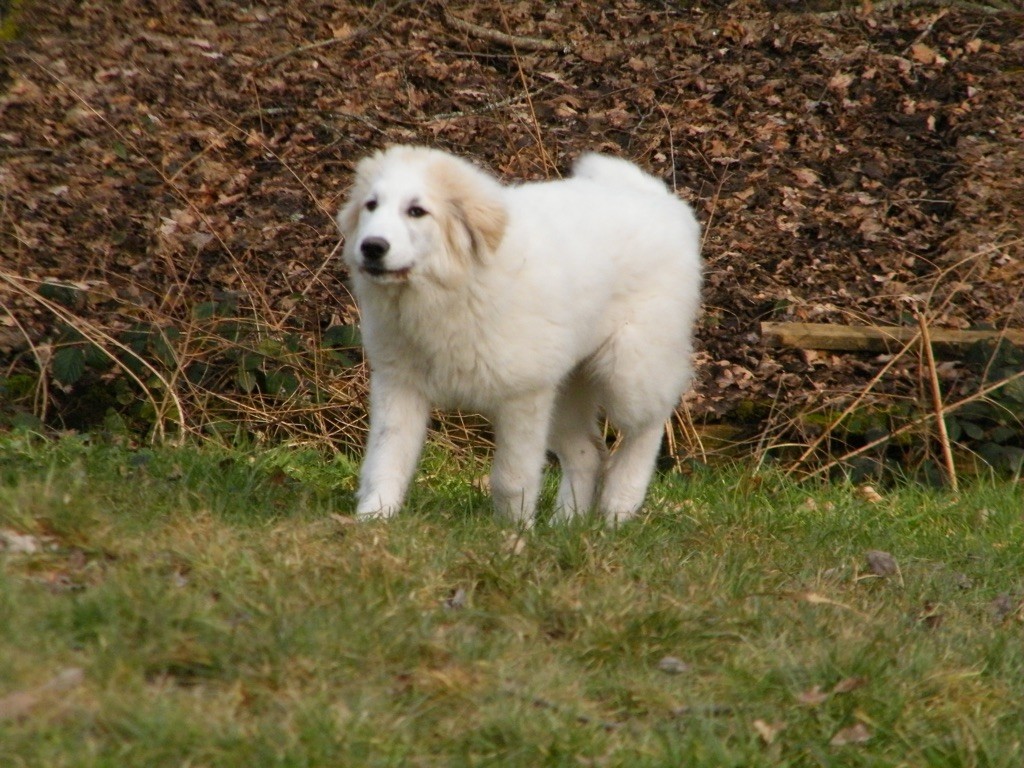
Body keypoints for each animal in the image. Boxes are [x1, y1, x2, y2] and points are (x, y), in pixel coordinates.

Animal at [339, 147, 700, 528]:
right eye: (371, 205)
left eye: (416, 211)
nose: (372, 247)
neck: (455, 286)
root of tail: (661, 199)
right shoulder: (398, 386)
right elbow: (385, 461)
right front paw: (373, 519)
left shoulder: (522, 397)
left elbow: (512, 478)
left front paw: (512, 531)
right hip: (565, 390)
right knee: (588, 452)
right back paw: (564, 525)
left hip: (631, 369)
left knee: (648, 428)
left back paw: (618, 509)